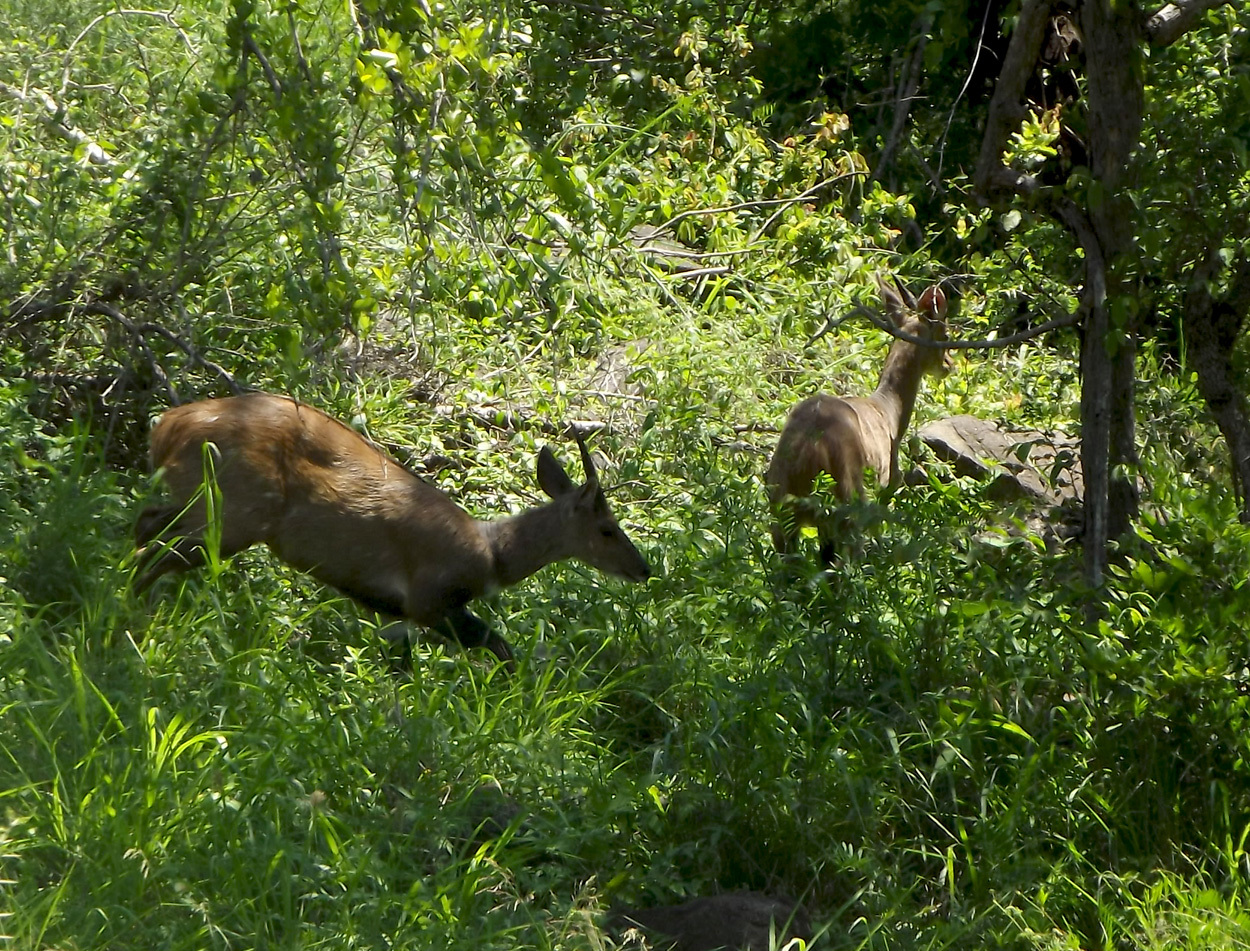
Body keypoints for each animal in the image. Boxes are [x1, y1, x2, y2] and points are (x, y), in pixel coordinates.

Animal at [131, 392, 650, 669]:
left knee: (145, 525)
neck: (492, 555)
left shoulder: (391, 608)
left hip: (202, 503)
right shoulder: (429, 598)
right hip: (233, 512)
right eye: (608, 528)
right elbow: (500, 646)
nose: (644, 569)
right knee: (153, 551)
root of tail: (167, 428)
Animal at [765, 274, 950, 557]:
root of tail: (809, 450)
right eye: (946, 333)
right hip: (848, 506)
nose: (949, 365)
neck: (889, 412)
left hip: (782, 514)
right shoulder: (884, 488)